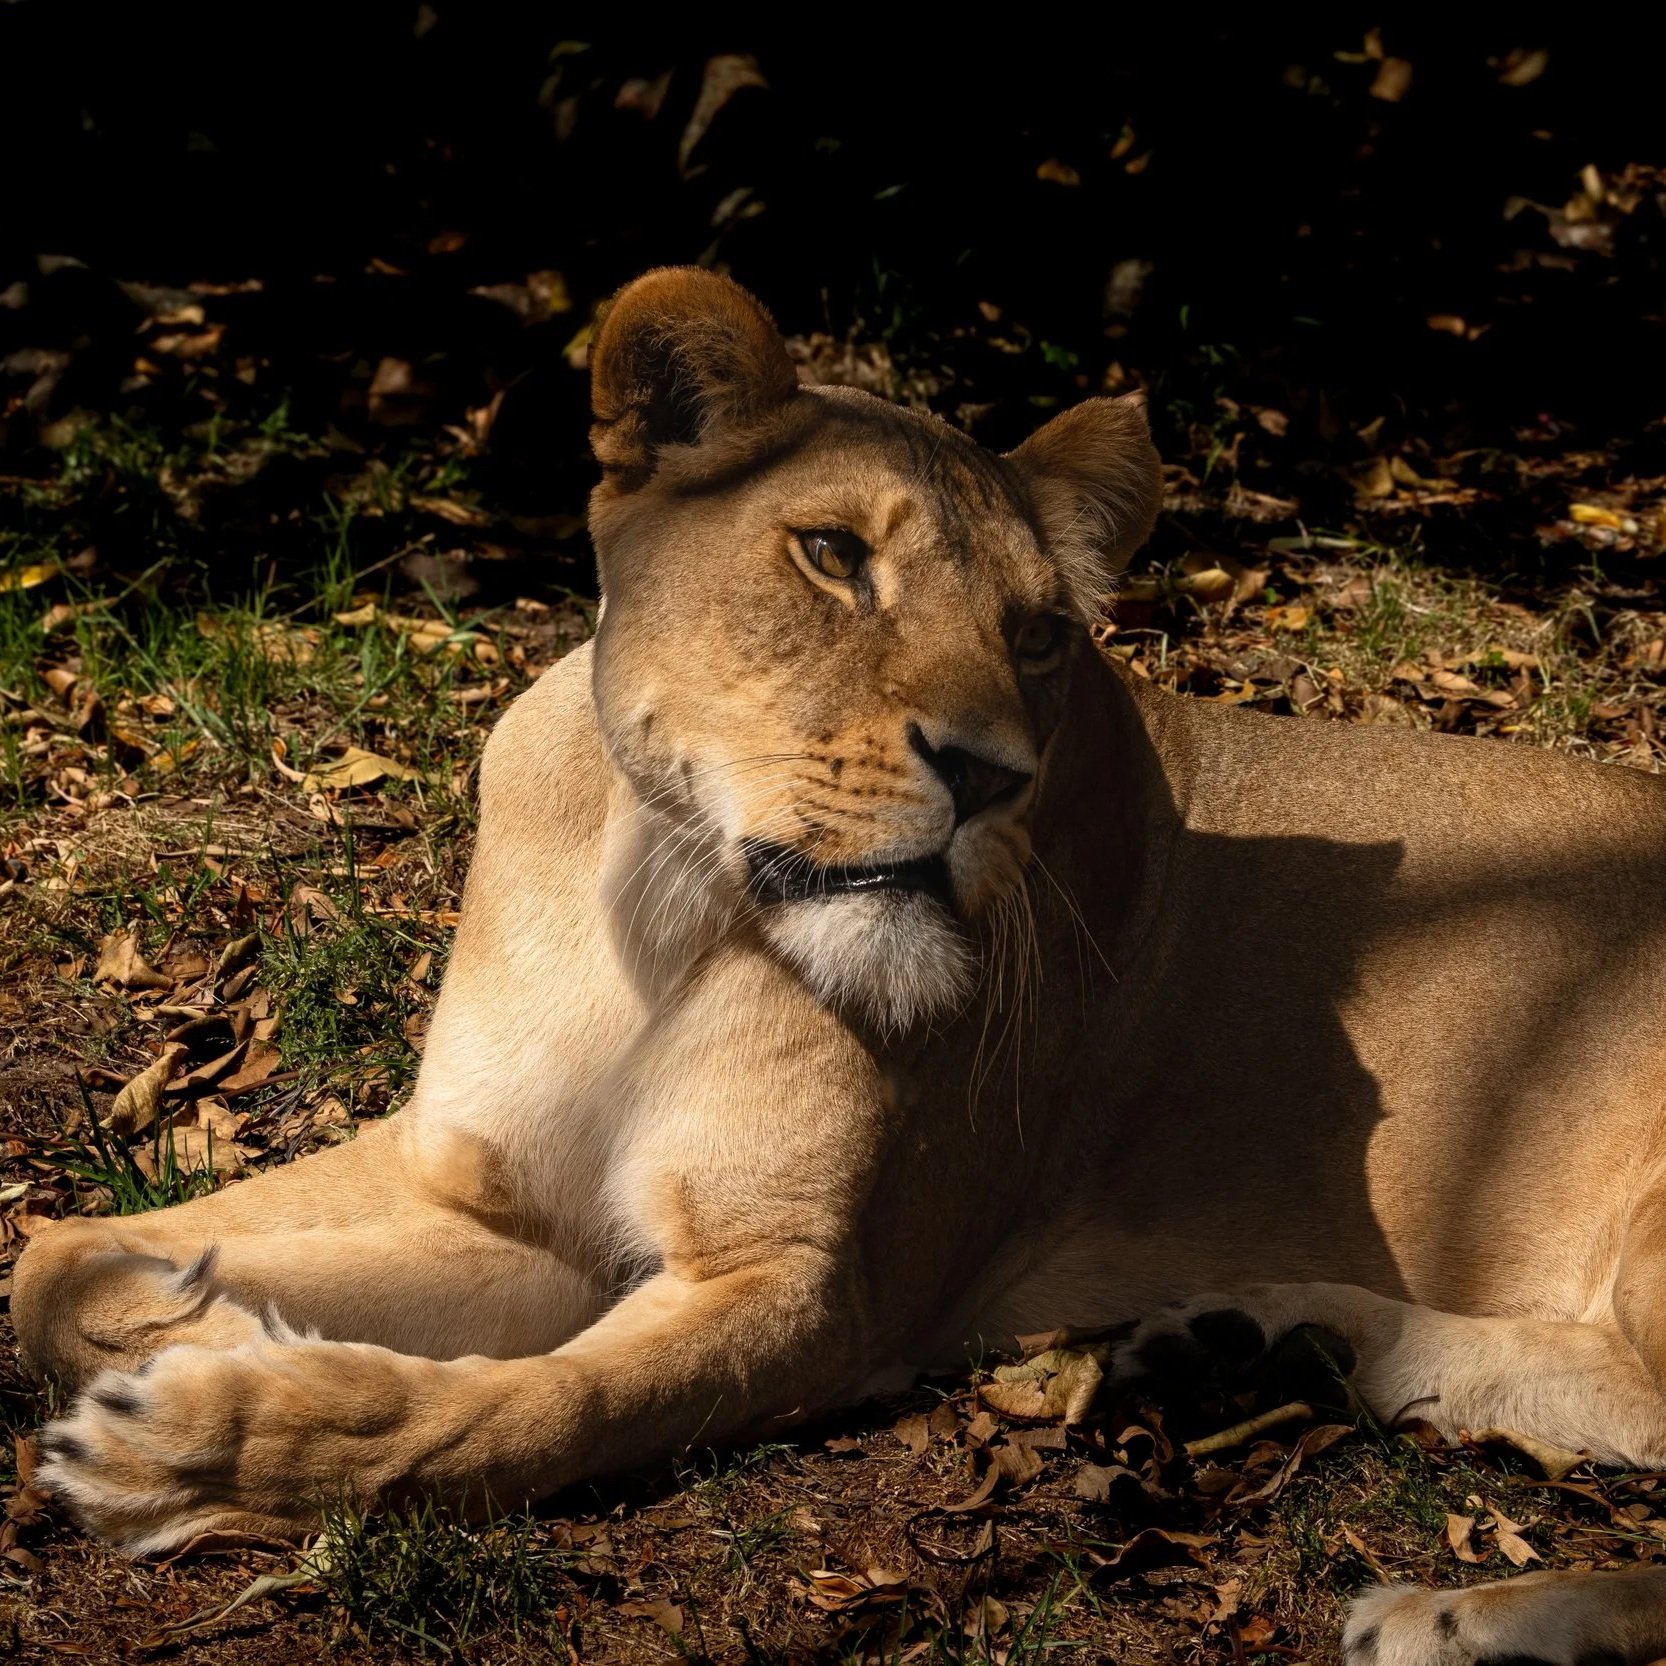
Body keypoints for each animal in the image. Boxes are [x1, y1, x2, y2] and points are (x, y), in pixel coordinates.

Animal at [14, 267, 1666, 1663]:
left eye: (1040, 633)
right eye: (830, 556)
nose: (990, 775)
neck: (660, 902)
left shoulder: (811, 1292)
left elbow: (529, 1408)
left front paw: (206, 1436)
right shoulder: (483, 1186)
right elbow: (58, 1261)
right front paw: (204, 1316)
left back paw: (1448, 1611)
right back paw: (1261, 1348)